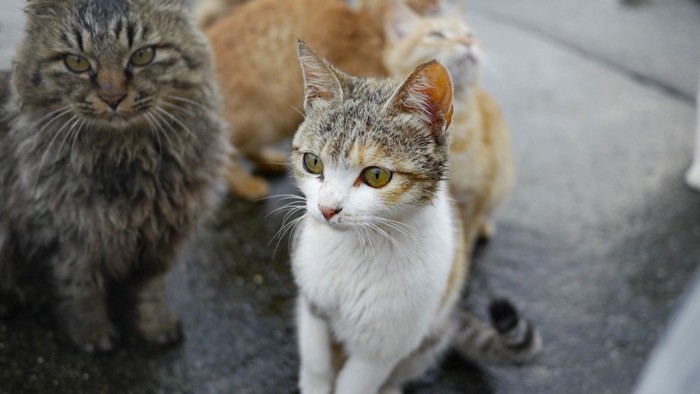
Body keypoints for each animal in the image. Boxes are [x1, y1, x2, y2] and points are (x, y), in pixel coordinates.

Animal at [0, 0, 228, 350]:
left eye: (143, 55)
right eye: (77, 62)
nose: (112, 98)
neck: (127, 157)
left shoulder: (162, 236)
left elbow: (150, 291)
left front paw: (155, 327)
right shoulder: (71, 238)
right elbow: (80, 289)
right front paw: (92, 334)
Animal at [290, 41, 540, 392]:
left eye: (376, 175)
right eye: (313, 162)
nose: (327, 209)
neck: (359, 249)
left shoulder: (384, 346)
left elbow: (357, 384)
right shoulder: (312, 303)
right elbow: (315, 361)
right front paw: (314, 381)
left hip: (429, 336)